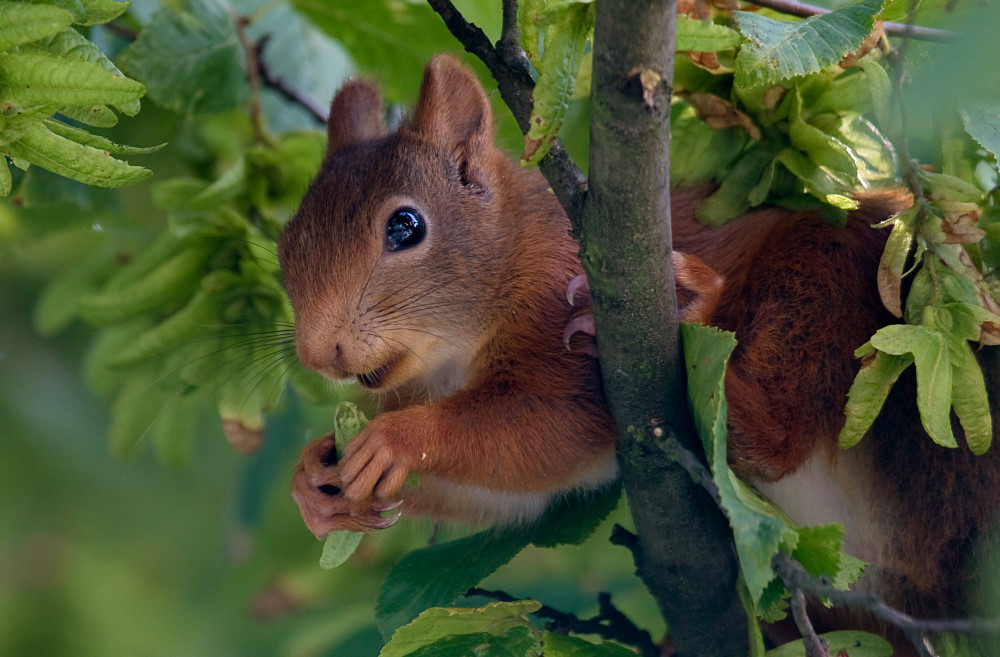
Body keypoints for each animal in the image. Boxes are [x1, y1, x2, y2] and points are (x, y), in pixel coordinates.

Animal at [278, 55, 1000, 644]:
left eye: (405, 226)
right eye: (285, 245)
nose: (317, 353)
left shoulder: (560, 314)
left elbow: (548, 428)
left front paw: (396, 438)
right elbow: (524, 492)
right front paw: (315, 481)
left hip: (821, 280)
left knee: (781, 431)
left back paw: (692, 312)